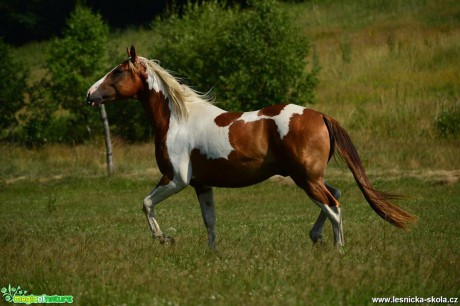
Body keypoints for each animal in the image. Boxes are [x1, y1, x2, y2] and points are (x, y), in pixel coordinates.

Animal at [86, 45, 416, 250]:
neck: (178, 120)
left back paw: (338, 248)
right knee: (335, 194)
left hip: (306, 178)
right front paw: (211, 254)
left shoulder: (175, 179)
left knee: (333, 206)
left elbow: (146, 203)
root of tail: (320, 115)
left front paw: (164, 239)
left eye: (118, 71)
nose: (90, 94)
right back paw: (316, 236)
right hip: (310, 176)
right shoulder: (201, 185)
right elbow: (209, 221)